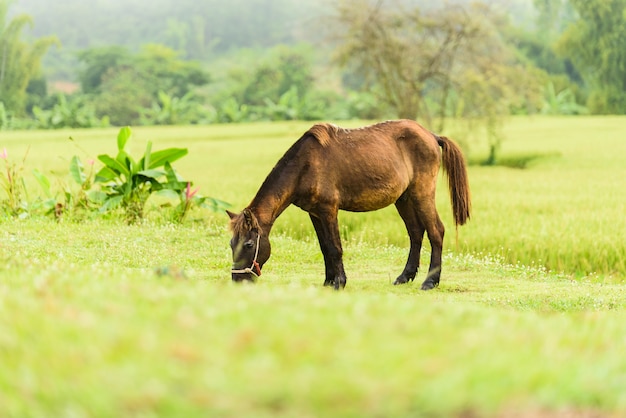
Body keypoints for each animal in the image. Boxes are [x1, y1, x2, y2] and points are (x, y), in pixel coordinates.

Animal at [225, 119, 468, 290]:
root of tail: (431, 136)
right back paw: (404, 276)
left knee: (436, 231)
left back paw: (430, 281)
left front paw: (339, 282)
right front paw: (328, 280)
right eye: (231, 243)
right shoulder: (314, 213)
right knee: (416, 233)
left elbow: (335, 247)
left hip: (422, 194)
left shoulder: (328, 210)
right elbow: (324, 247)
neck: (305, 165)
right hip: (404, 199)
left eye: (249, 244)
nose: (238, 280)